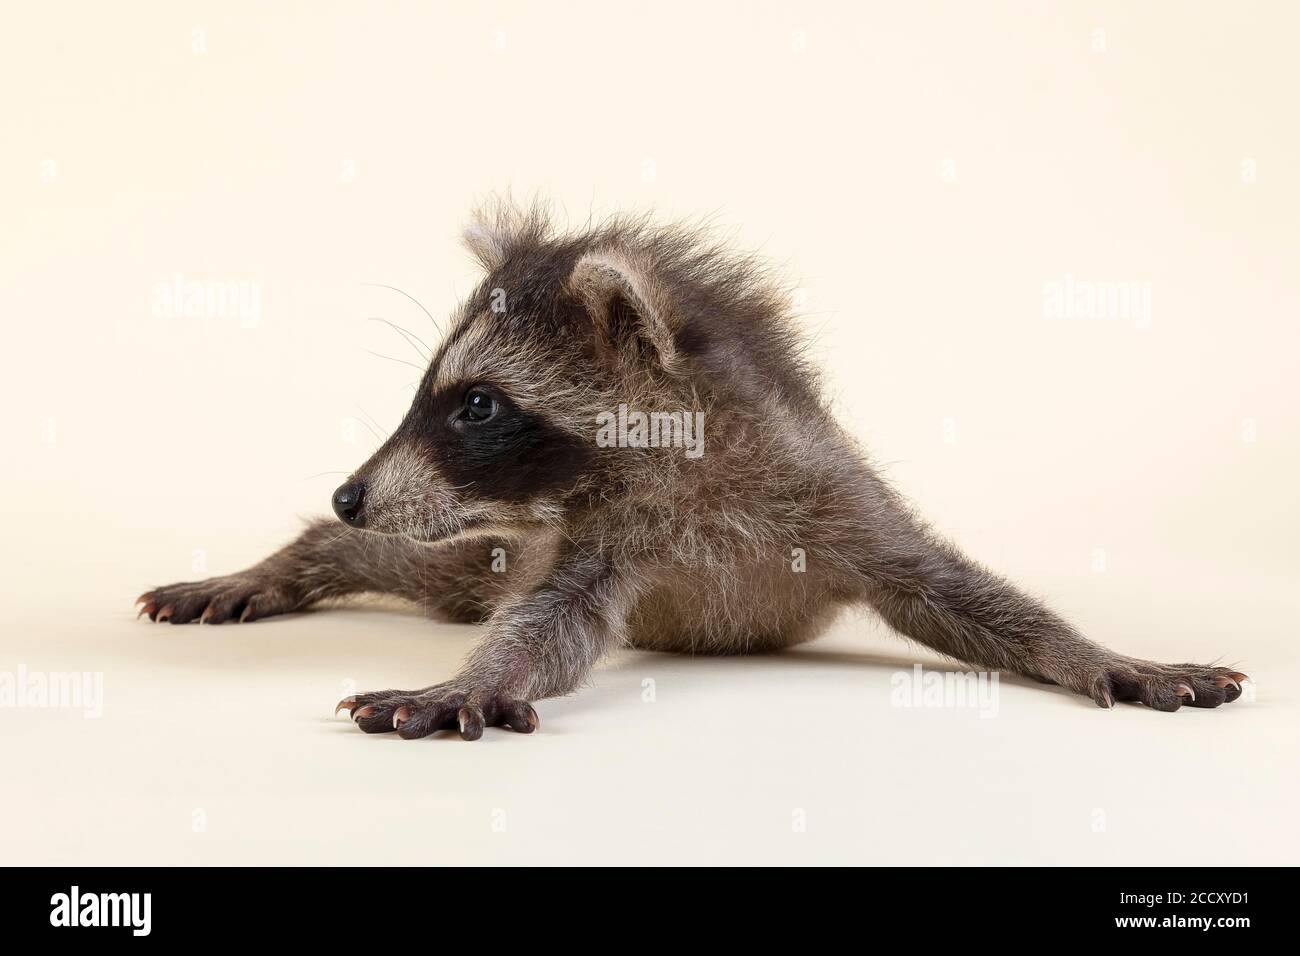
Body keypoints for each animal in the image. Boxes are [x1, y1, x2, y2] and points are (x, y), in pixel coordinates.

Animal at [137, 200, 1242, 738]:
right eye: (441, 395)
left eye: (476, 405)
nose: (350, 491)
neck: (687, 464)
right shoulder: (591, 536)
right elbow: (544, 627)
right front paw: (472, 676)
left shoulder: (825, 492)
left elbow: (956, 593)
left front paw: (1093, 650)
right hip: (493, 542)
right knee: (429, 569)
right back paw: (299, 558)